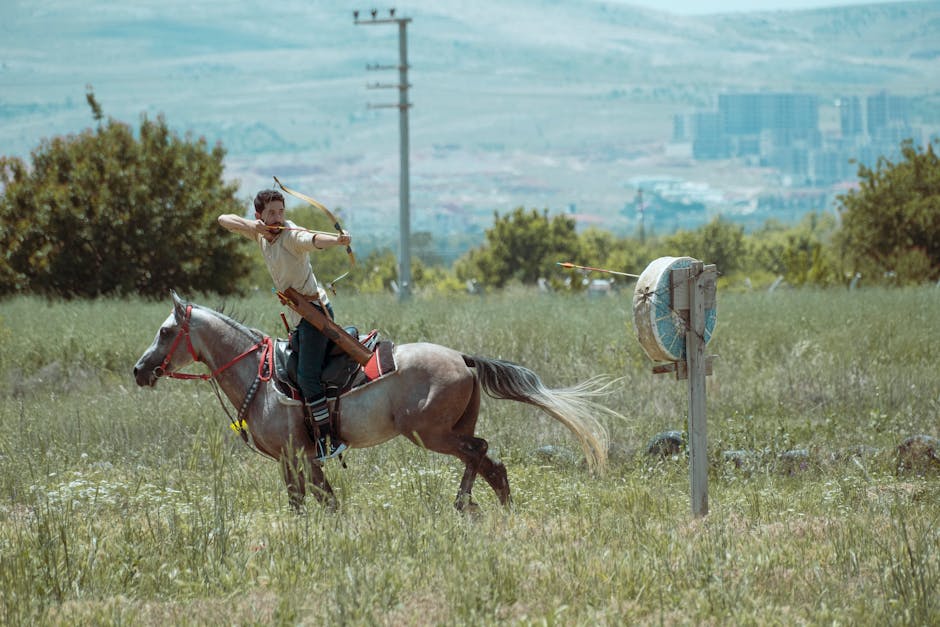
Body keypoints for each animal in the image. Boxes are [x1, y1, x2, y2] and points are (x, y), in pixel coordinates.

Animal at [132, 292, 616, 512]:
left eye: (164, 331)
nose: (139, 370)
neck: (262, 378)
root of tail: (462, 358)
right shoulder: (296, 458)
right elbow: (310, 500)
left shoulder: (298, 454)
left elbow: (318, 501)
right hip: (452, 429)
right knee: (491, 463)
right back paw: (495, 509)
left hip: (430, 433)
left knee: (480, 454)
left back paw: (464, 504)